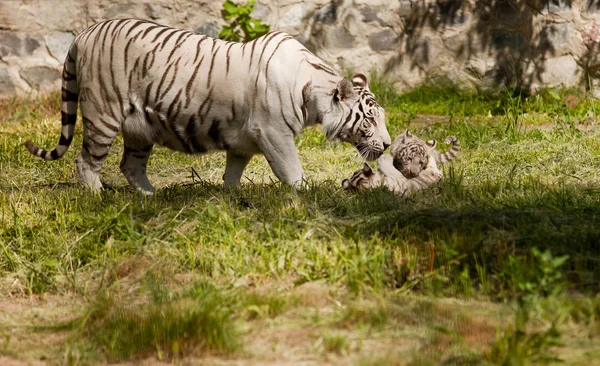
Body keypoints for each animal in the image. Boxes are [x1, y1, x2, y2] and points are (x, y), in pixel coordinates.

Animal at [23, 19, 392, 194]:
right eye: (370, 120)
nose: (388, 145)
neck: (312, 91)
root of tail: (83, 34)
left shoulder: (244, 142)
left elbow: (233, 172)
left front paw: (229, 197)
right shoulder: (273, 133)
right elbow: (292, 170)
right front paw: (305, 194)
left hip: (138, 127)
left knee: (130, 165)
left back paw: (151, 198)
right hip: (103, 115)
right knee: (86, 162)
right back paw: (98, 198)